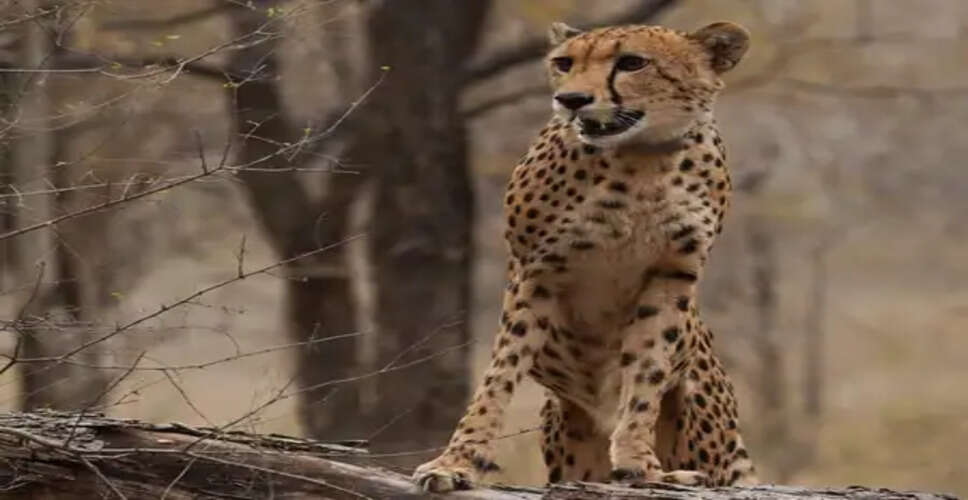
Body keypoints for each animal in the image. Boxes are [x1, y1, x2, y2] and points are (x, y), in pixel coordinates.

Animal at [413, 20, 757, 492]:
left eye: (631, 62)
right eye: (564, 63)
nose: (571, 99)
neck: (643, 157)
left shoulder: (671, 275)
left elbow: (646, 371)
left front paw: (640, 466)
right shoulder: (536, 272)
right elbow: (498, 377)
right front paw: (454, 462)